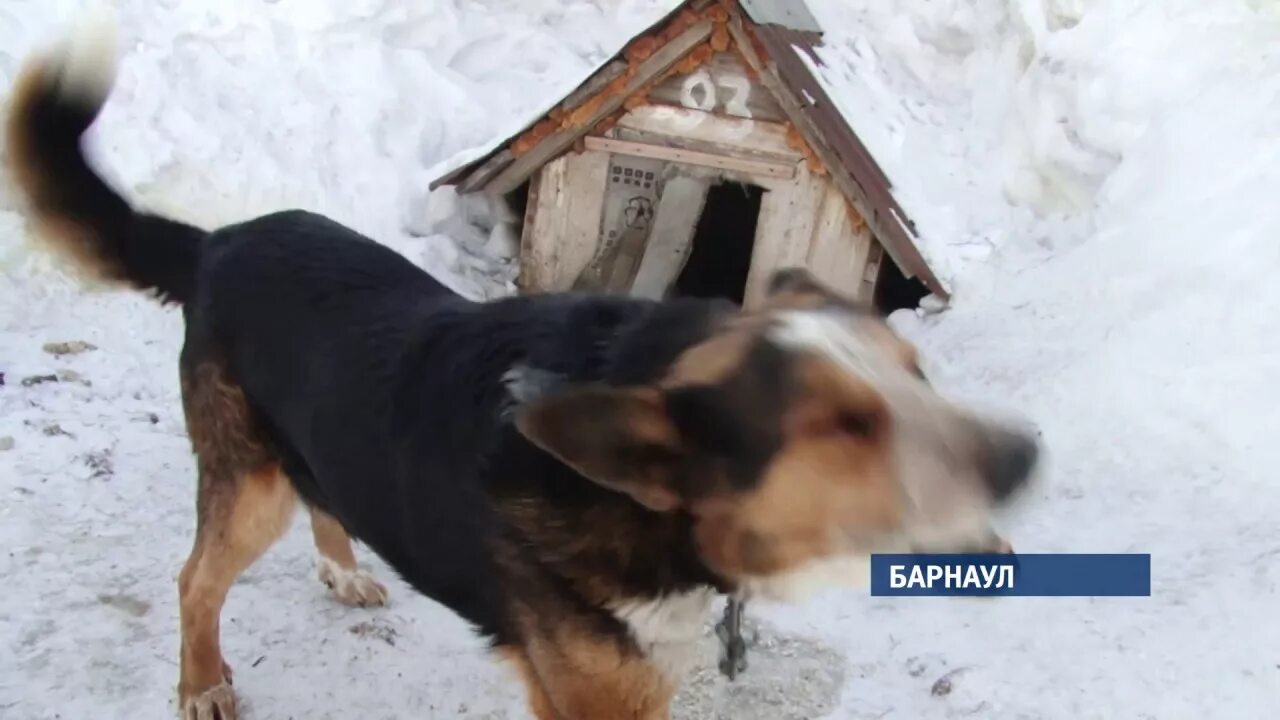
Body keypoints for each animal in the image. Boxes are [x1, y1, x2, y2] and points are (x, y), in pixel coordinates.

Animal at [5, 19, 1034, 717]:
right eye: (843, 425)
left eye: (916, 374)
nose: (1022, 459)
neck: (643, 502)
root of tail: (218, 242)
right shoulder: (597, 697)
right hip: (247, 480)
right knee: (195, 579)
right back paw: (203, 683)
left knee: (321, 492)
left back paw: (344, 570)